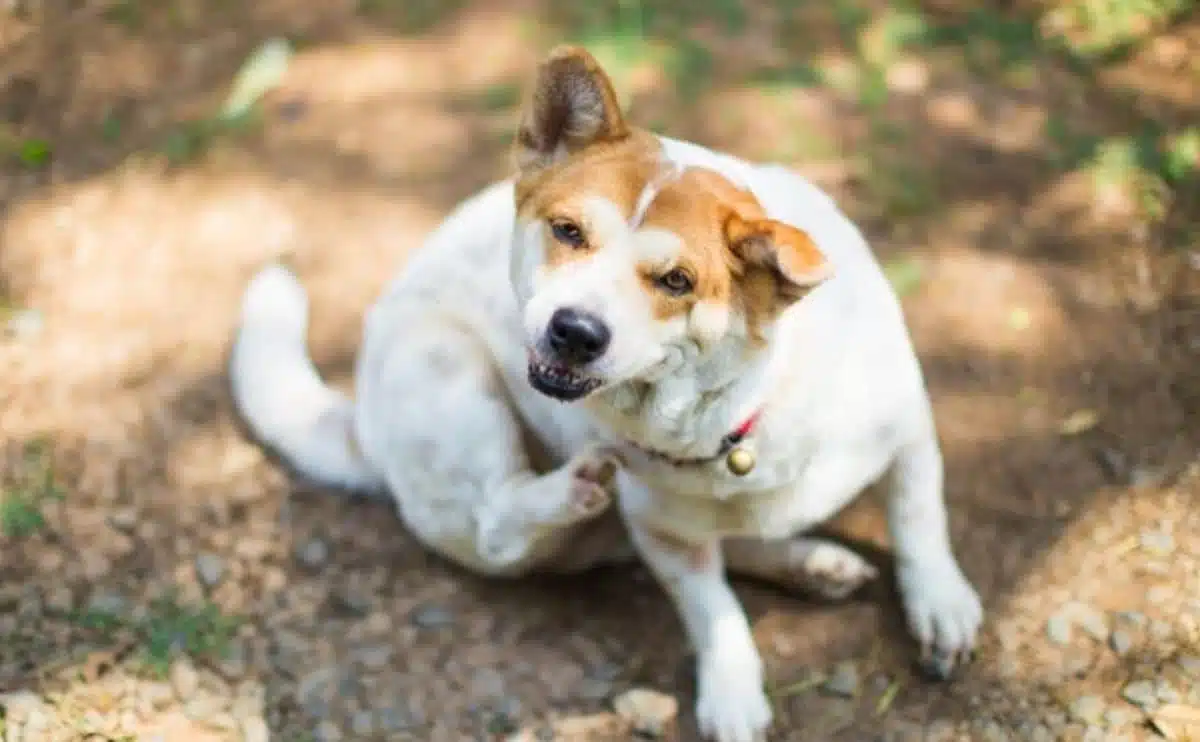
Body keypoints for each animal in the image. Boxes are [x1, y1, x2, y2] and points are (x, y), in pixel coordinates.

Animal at [229, 44, 979, 739]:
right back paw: (569, 490)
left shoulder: (909, 430)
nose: (575, 332)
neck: (735, 420)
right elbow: (713, 608)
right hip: (444, 368)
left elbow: (919, 521)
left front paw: (940, 603)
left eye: (676, 280)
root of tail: (362, 423)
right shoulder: (661, 534)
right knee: (499, 523)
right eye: (568, 231)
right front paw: (733, 694)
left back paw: (812, 563)